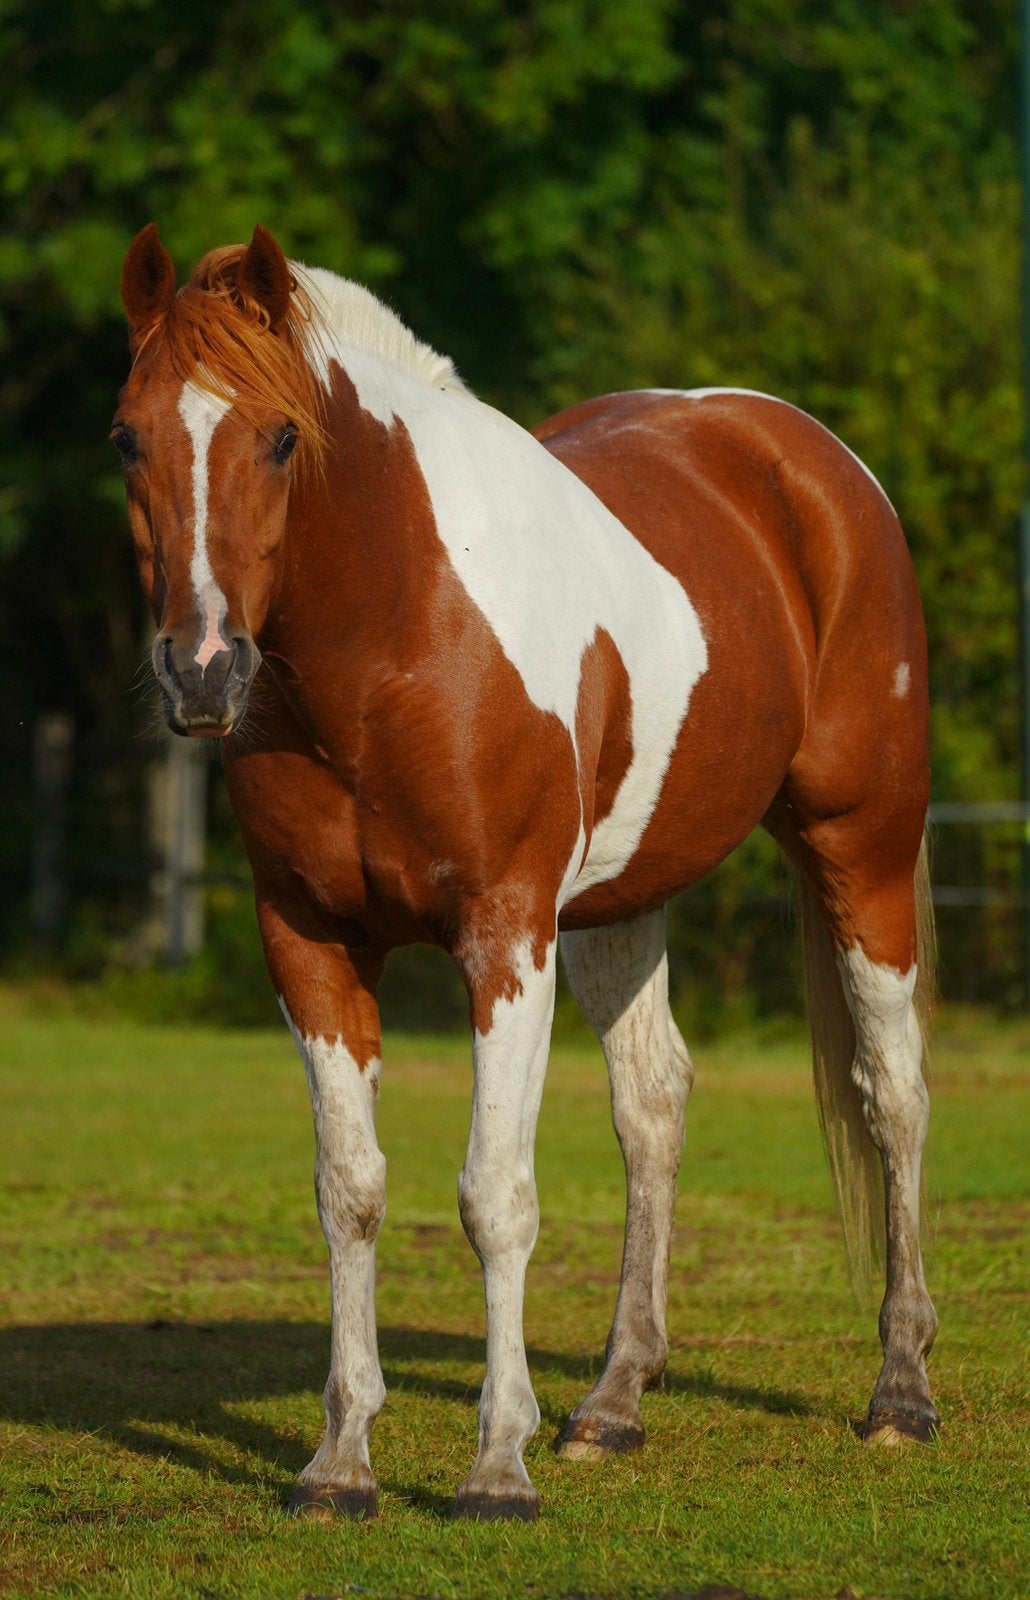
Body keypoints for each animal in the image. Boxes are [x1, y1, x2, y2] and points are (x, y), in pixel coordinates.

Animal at [113, 223, 939, 1522]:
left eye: (281, 436)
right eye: (127, 437)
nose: (202, 671)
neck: (393, 638)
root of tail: (808, 461)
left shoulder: (504, 936)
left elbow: (493, 1195)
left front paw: (496, 1465)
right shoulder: (311, 946)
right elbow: (351, 1189)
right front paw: (338, 1462)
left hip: (863, 843)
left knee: (890, 1092)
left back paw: (899, 1391)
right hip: (618, 903)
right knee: (653, 1105)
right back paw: (611, 1404)